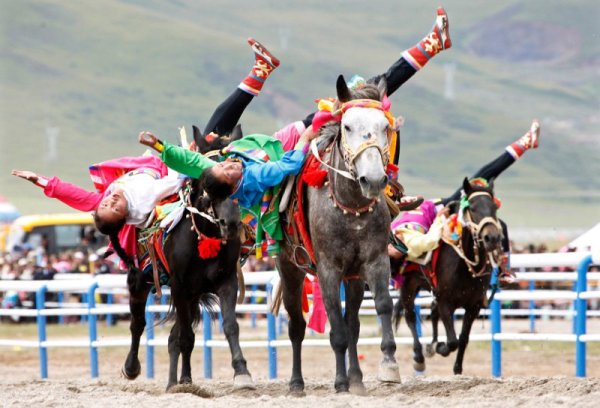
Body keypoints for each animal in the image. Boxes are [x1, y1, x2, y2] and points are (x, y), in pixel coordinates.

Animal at [392, 178, 504, 376]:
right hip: (408, 286)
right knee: (410, 316)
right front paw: (440, 348)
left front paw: (457, 368)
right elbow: (452, 341)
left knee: (432, 311)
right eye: (472, 208)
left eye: (494, 207)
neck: (464, 266)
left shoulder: (474, 305)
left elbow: (463, 338)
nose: (491, 238)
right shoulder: (446, 301)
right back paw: (419, 357)